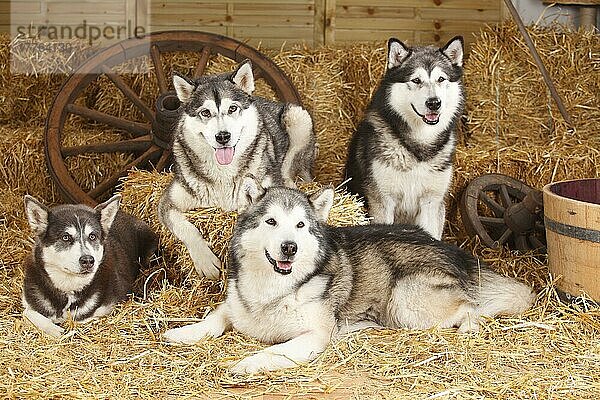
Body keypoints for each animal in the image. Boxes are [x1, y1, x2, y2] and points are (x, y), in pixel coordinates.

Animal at [22, 195, 157, 336]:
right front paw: (55, 330)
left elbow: (86, 318)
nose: (88, 260)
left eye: (92, 236)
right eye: (65, 237)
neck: (68, 287)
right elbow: (27, 313)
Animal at [159, 59, 318, 280]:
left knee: (288, 172)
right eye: (205, 113)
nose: (223, 136)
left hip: (298, 117)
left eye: (232, 108)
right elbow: (186, 227)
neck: (224, 173)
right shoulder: (167, 202)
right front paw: (206, 261)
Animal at [164, 177, 536, 374]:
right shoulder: (235, 304)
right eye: (271, 221)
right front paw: (183, 333)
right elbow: (214, 318)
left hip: (406, 303)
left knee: (470, 306)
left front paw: (247, 363)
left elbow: (274, 351)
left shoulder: (315, 335)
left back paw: (469, 326)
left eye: (301, 225)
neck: (275, 289)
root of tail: (448, 248)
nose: (289, 247)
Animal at [344, 36, 466, 239]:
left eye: (441, 79)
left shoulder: (431, 202)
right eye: (416, 80)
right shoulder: (383, 201)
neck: (419, 146)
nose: (434, 103)